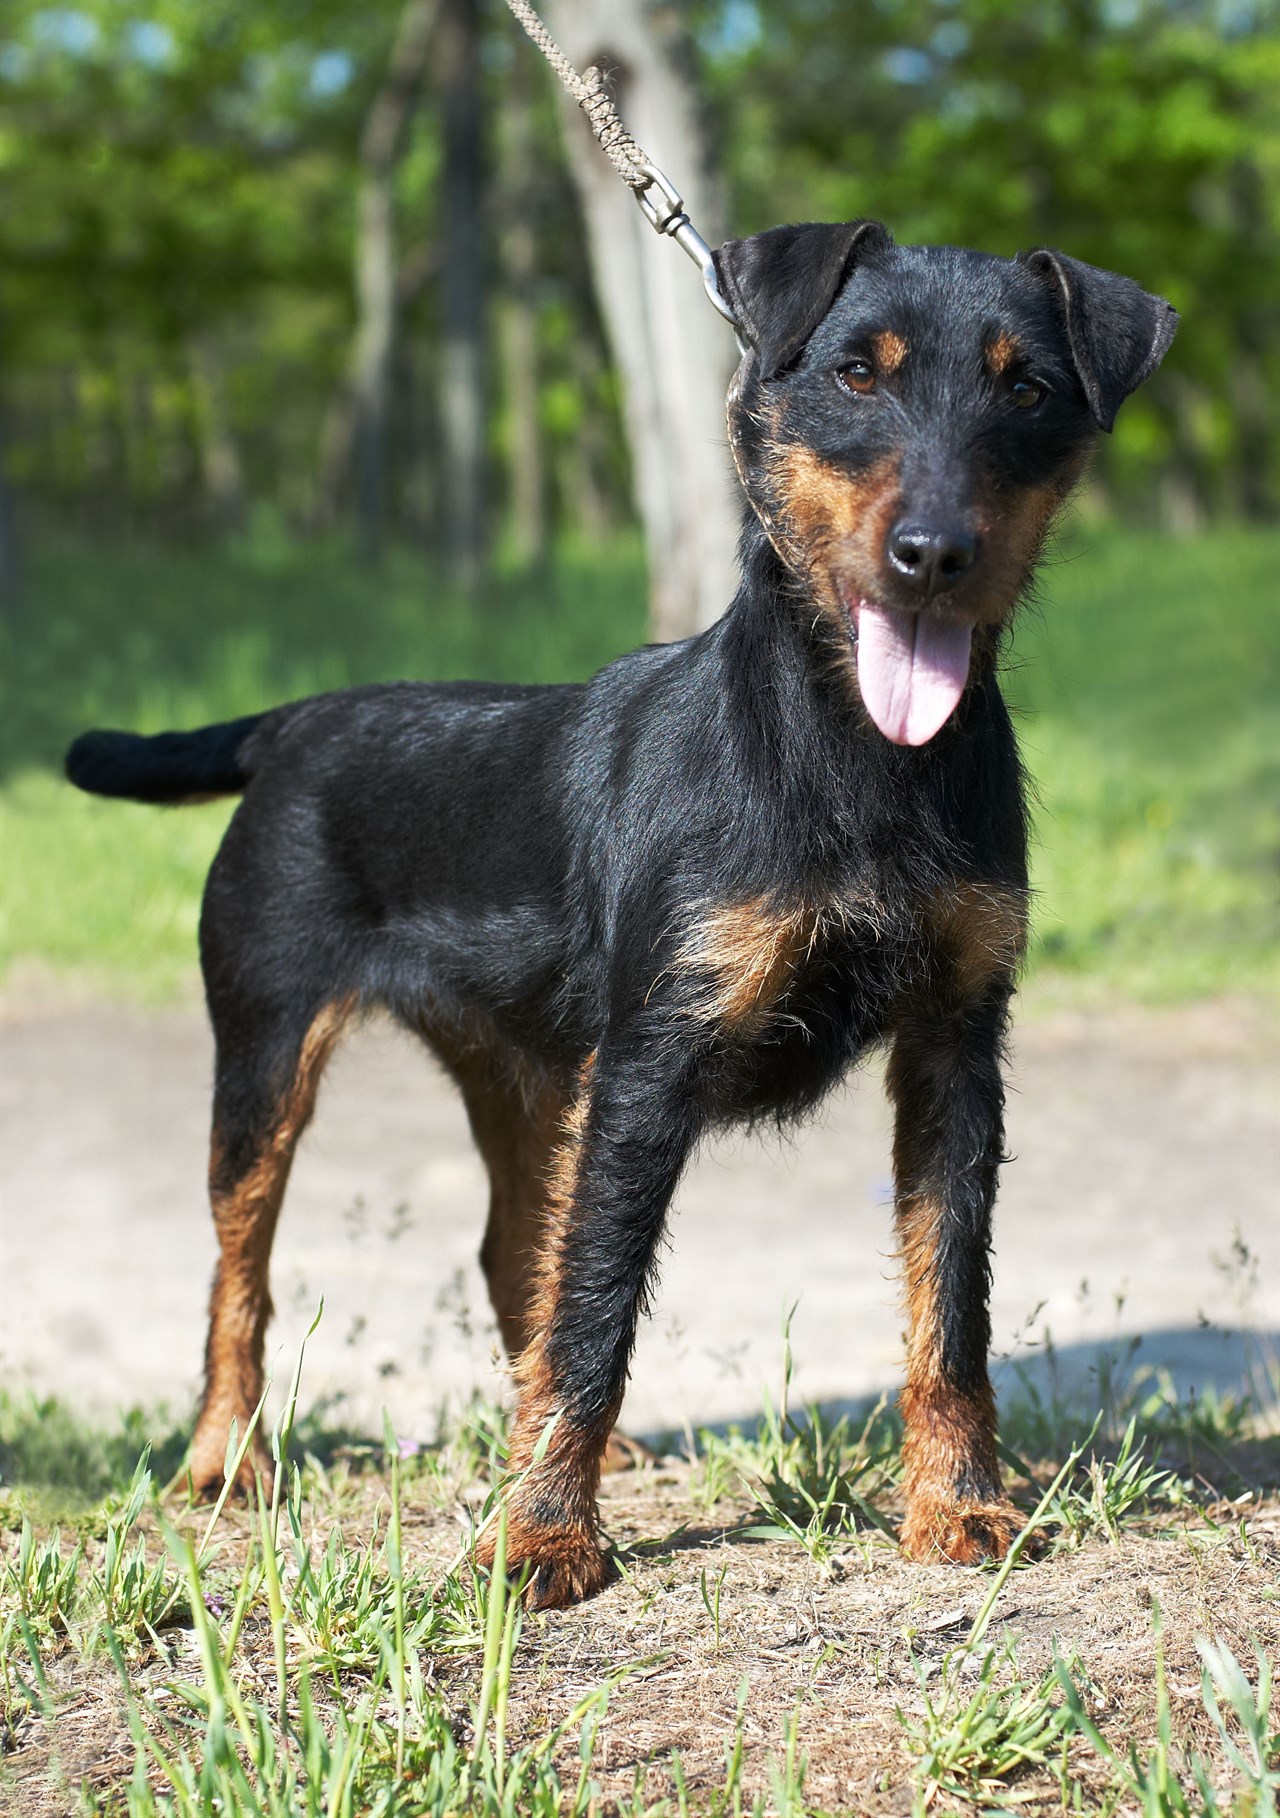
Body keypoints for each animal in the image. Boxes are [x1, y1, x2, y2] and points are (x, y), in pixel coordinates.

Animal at [65, 223, 1178, 1607]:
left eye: (1023, 388)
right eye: (856, 375)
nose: (931, 554)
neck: (852, 752)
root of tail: (293, 723)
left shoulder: (953, 1050)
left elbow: (948, 1303)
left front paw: (958, 1503)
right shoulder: (650, 1067)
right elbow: (596, 1302)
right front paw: (543, 1539)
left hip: (530, 1077)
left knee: (511, 1253)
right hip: (269, 1060)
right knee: (244, 1270)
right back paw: (227, 1461)